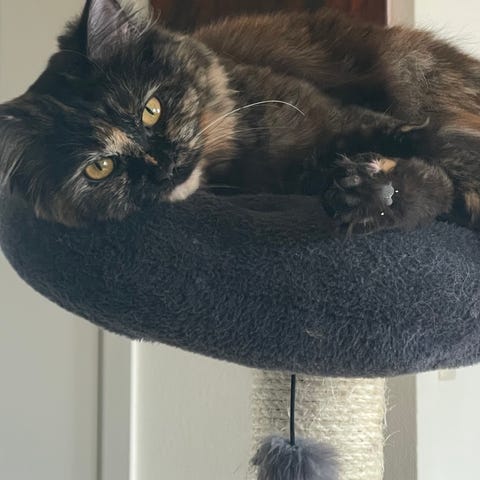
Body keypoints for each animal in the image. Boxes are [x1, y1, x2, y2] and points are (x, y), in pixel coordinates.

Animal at [0, 0, 477, 232]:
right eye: (99, 168)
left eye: (151, 110)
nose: (164, 166)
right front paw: (373, 196)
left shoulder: (349, 121)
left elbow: (441, 149)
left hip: (409, 63)